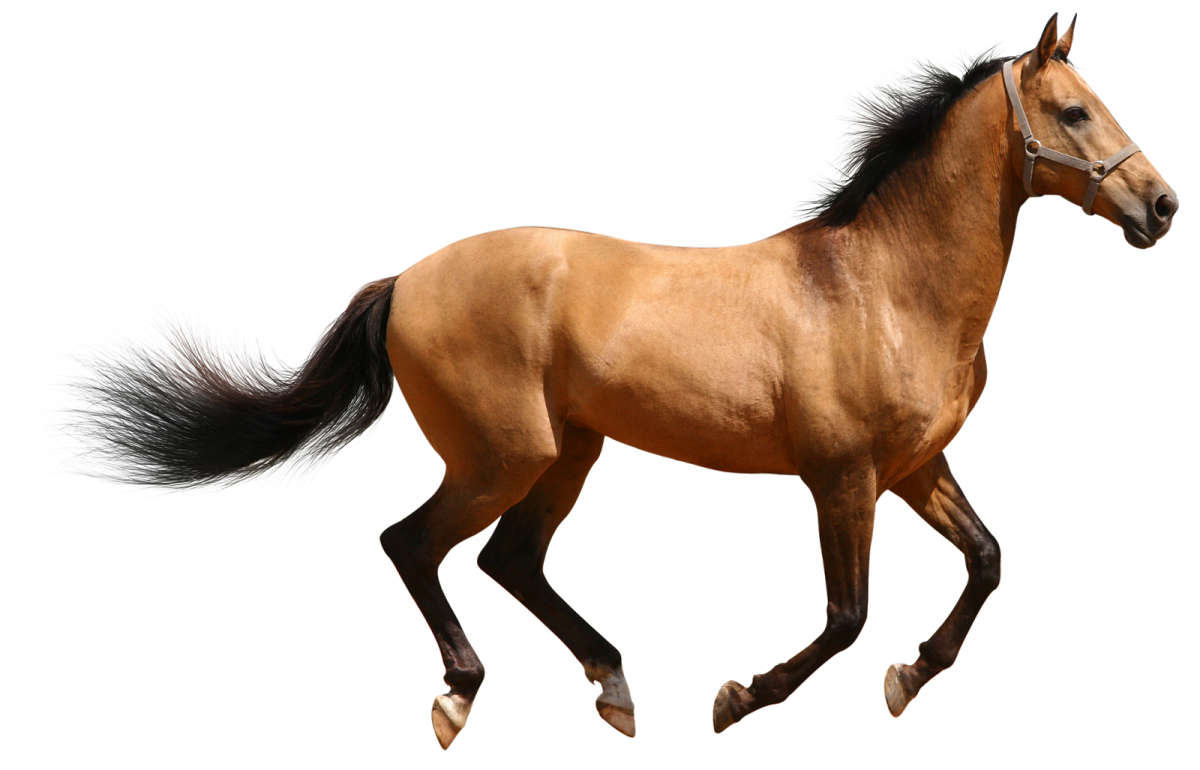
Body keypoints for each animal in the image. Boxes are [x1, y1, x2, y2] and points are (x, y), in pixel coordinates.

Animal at [19, 11, 1176, 749]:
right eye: (1074, 112)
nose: (1162, 205)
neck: (884, 286)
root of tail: (405, 278)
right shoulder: (841, 474)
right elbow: (848, 614)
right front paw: (735, 700)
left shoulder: (915, 467)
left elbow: (985, 560)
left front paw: (905, 681)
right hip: (508, 451)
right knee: (418, 543)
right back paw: (461, 699)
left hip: (570, 450)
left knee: (510, 561)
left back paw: (614, 689)